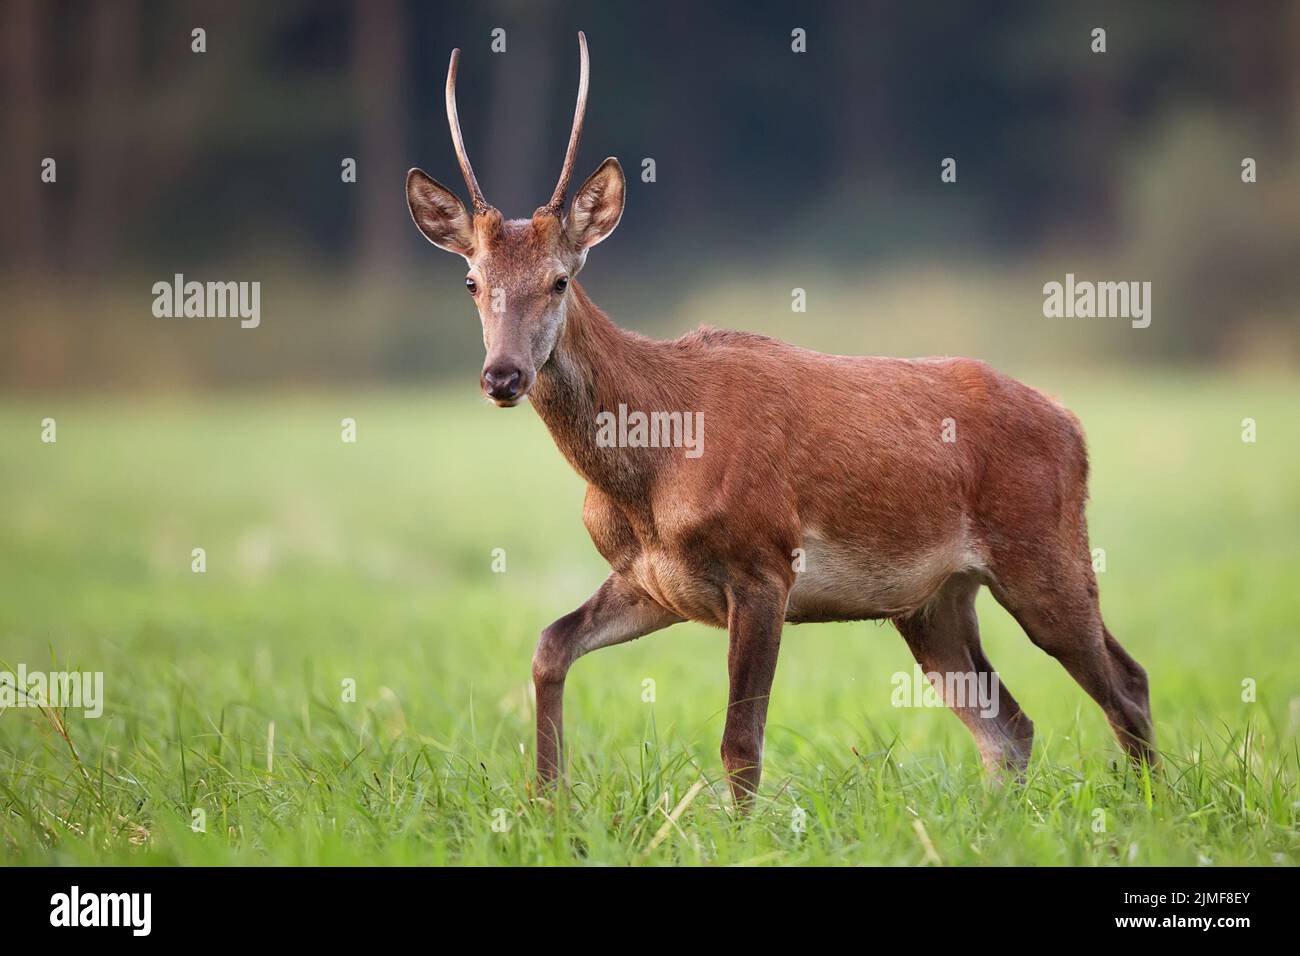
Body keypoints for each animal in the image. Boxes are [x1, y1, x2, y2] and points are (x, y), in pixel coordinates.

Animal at [404, 33, 1157, 806]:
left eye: (560, 280)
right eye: (472, 282)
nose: (502, 376)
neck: (653, 468)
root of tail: (1073, 424)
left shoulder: (764, 560)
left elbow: (741, 743)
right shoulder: (653, 580)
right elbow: (549, 645)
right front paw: (547, 805)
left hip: (1044, 549)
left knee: (1126, 683)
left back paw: (1150, 805)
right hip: (933, 598)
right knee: (1009, 723)